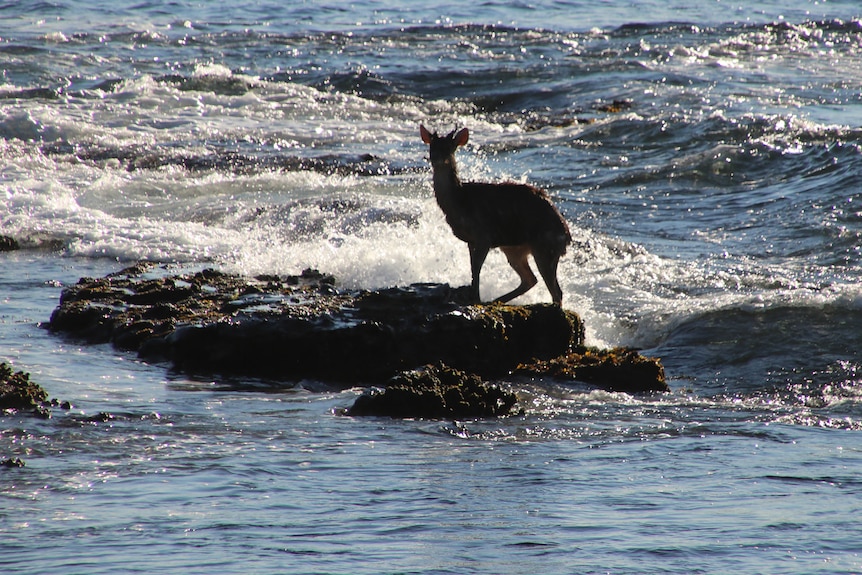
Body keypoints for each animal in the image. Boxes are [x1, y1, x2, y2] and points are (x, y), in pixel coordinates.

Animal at [420, 125, 572, 306]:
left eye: (450, 147)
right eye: (432, 146)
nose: (436, 159)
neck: (460, 203)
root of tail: (567, 236)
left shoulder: (484, 235)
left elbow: (476, 268)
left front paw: (475, 298)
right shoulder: (471, 240)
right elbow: (473, 268)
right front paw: (475, 296)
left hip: (545, 246)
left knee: (556, 291)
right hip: (515, 249)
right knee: (531, 280)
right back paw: (496, 300)